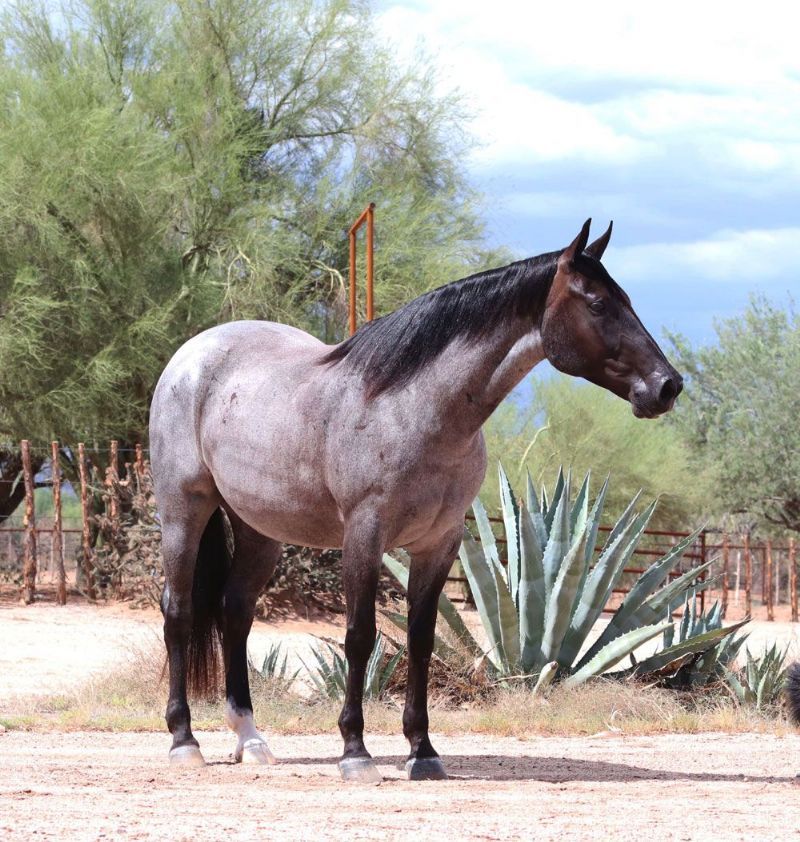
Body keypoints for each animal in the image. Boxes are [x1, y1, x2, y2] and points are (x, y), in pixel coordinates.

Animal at [149, 219, 683, 782]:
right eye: (598, 304)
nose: (668, 386)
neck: (413, 408)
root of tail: (192, 354)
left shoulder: (439, 543)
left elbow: (421, 641)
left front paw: (422, 751)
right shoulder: (365, 535)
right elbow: (360, 636)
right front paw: (355, 752)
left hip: (259, 529)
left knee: (235, 613)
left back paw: (250, 740)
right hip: (184, 510)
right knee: (179, 611)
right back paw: (184, 740)